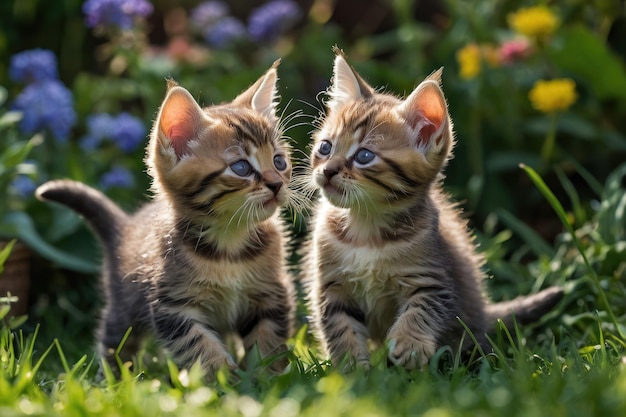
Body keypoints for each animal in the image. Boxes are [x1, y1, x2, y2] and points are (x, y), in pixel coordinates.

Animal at [36, 61, 294, 376]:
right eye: (242, 167)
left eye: (279, 161)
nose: (277, 184)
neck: (229, 244)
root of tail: (126, 226)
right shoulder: (172, 305)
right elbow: (200, 347)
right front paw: (223, 379)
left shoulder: (271, 292)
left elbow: (267, 340)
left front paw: (265, 377)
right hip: (123, 306)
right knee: (114, 341)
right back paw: (111, 376)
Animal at [304, 49, 564, 370]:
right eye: (325, 148)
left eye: (364, 156)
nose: (327, 171)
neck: (366, 228)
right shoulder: (331, 287)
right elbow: (340, 329)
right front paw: (351, 368)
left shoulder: (433, 279)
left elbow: (421, 311)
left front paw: (410, 344)